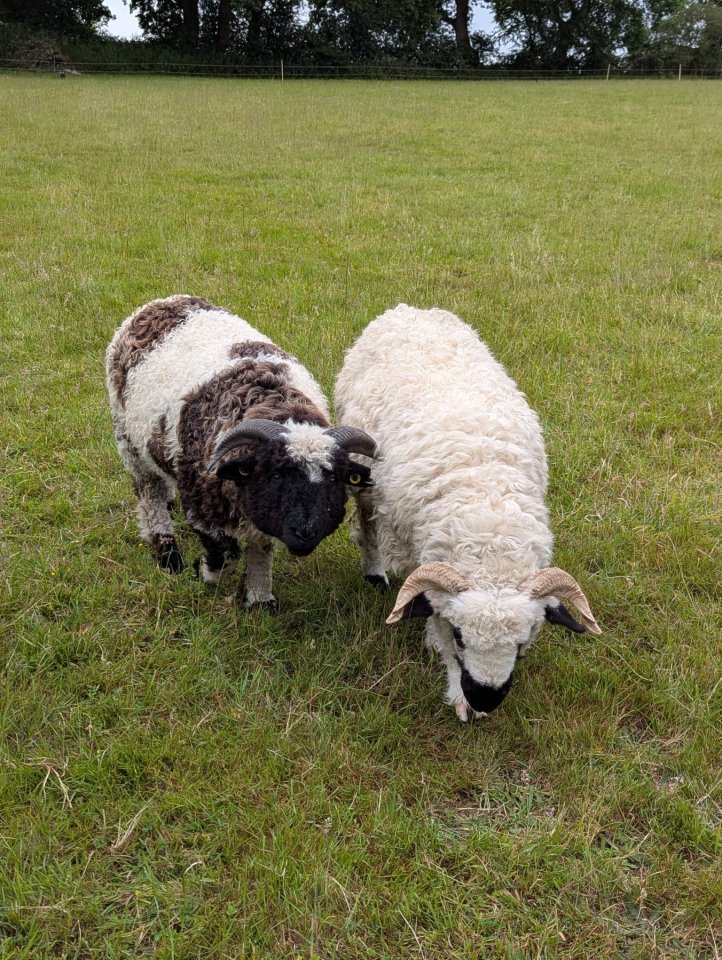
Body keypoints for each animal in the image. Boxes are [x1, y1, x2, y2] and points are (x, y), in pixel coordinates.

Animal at [106, 295, 376, 609]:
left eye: (333, 479)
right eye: (274, 476)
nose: (305, 533)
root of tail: (162, 302)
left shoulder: (258, 506)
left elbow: (260, 547)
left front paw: (258, 600)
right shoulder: (201, 505)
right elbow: (226, 555)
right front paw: (203, 571)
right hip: (128, 440)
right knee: (150, 495)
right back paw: (167, 554)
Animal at [335, 303, 601, 721]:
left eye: (523, 641)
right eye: (460, 635)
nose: (485, 698)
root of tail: (409, 308)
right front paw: (457, 692)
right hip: (363, 475)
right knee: (367, 526)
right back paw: (374, 571)